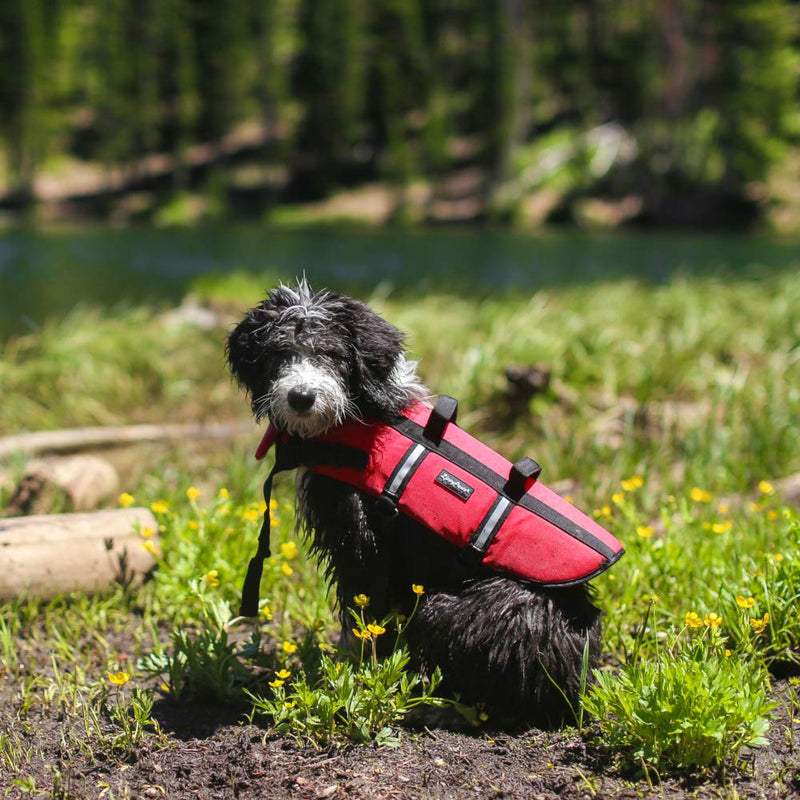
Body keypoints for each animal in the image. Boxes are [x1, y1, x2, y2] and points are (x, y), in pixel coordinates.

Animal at [225, 280, 600, 724]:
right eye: (279, 352)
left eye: (331, 354)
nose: (302, 397)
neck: (364, 415)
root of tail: (579, 679)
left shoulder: (361, 541)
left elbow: (362, 614)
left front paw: (355, 675)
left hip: (445, 610)